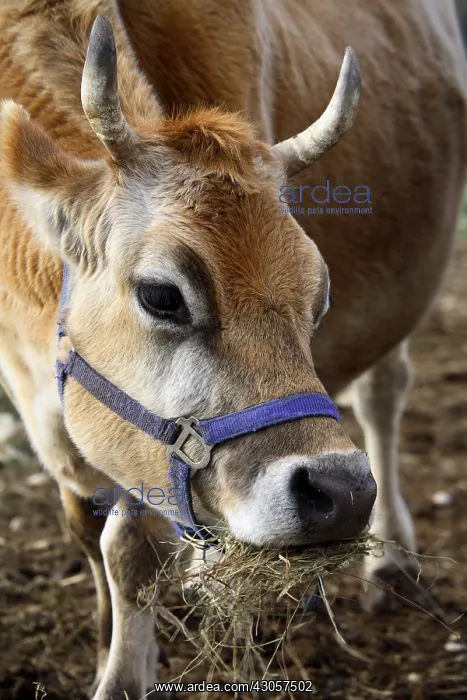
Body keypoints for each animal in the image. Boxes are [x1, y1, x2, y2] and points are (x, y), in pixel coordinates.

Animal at [0, 0, 466, 697]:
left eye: (318, 297)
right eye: (162, 295)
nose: (343, 492)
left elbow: (132, 550)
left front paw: (124, 676)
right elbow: (87, 529)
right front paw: (112, 643)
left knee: (384, 395)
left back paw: (386, 564)